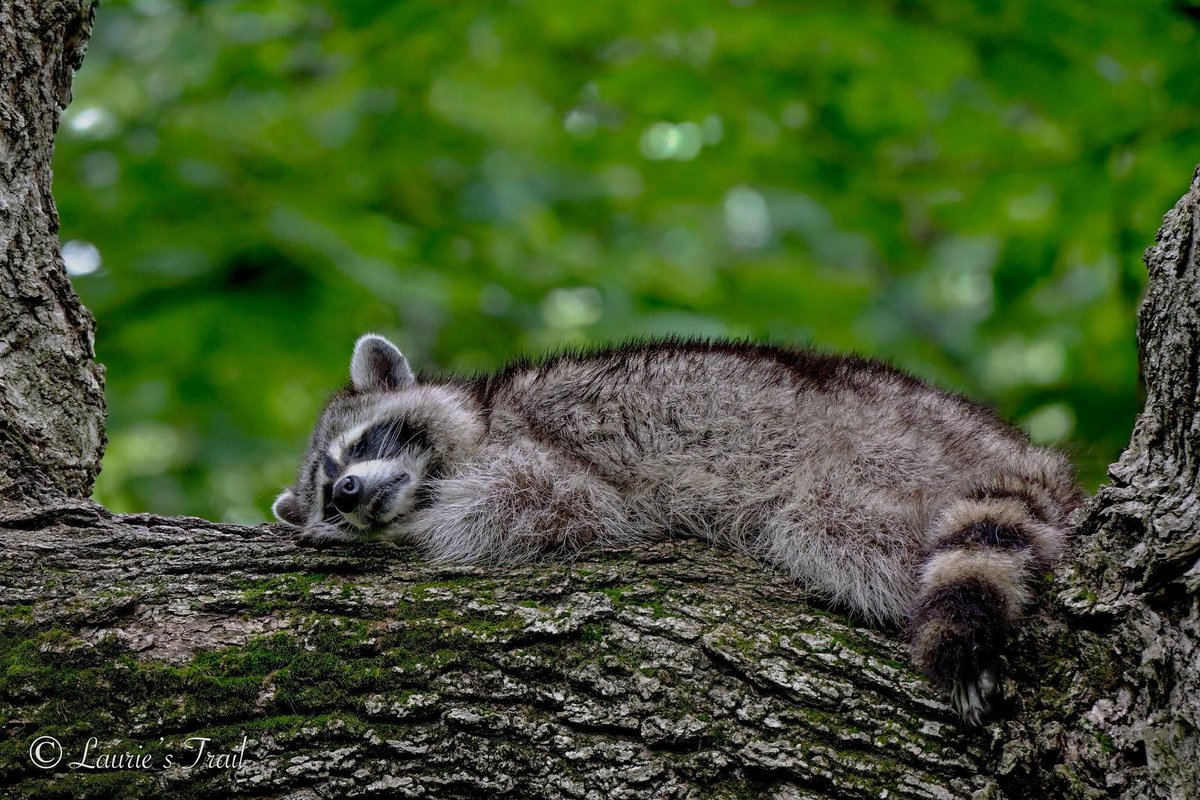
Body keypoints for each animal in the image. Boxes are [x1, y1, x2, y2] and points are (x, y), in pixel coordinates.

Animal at [274, 333, 1082, 724]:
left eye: (360, 445)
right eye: (326, 494)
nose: (346, 492)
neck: (476, 422)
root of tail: (1016, 449)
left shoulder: (541, 457)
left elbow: (531, 509)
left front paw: (415, 534)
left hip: (876, 458)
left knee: (835, 533)